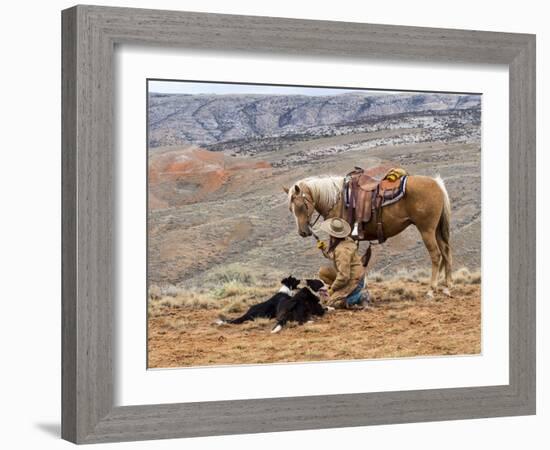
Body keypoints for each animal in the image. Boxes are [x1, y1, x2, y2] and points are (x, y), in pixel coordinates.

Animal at [286, 174, 454, 298]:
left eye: (301, 206)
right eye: (290, 209)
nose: (303, 232)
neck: (337, 200)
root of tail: (437, 183)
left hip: (426, 230)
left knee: (436, 255)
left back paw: (432, 289)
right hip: (437, 230)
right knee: (446, 252)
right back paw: (448, 286)